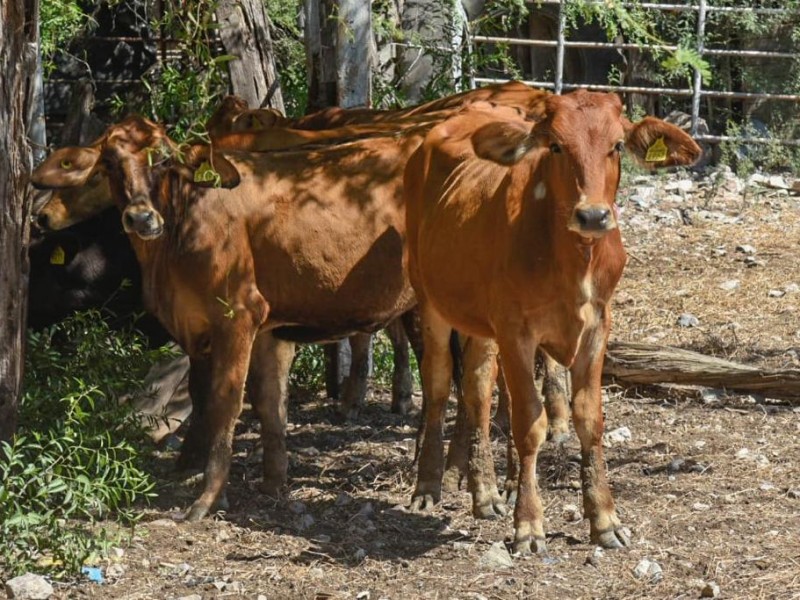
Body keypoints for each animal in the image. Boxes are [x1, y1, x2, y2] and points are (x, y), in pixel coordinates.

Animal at [406, 92, 700, 552]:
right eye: (556, 146)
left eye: (617, 145)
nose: (593, 216)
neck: (572, 259)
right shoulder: (516, 331)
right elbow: (529, 422)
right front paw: (528, 523)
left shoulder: (597, 325)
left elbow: (589, 418)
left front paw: (604, 517)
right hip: (429, 296)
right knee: (438, 383)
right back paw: (428, 485)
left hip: (478, 321)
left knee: (477, 388)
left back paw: (485, 492)